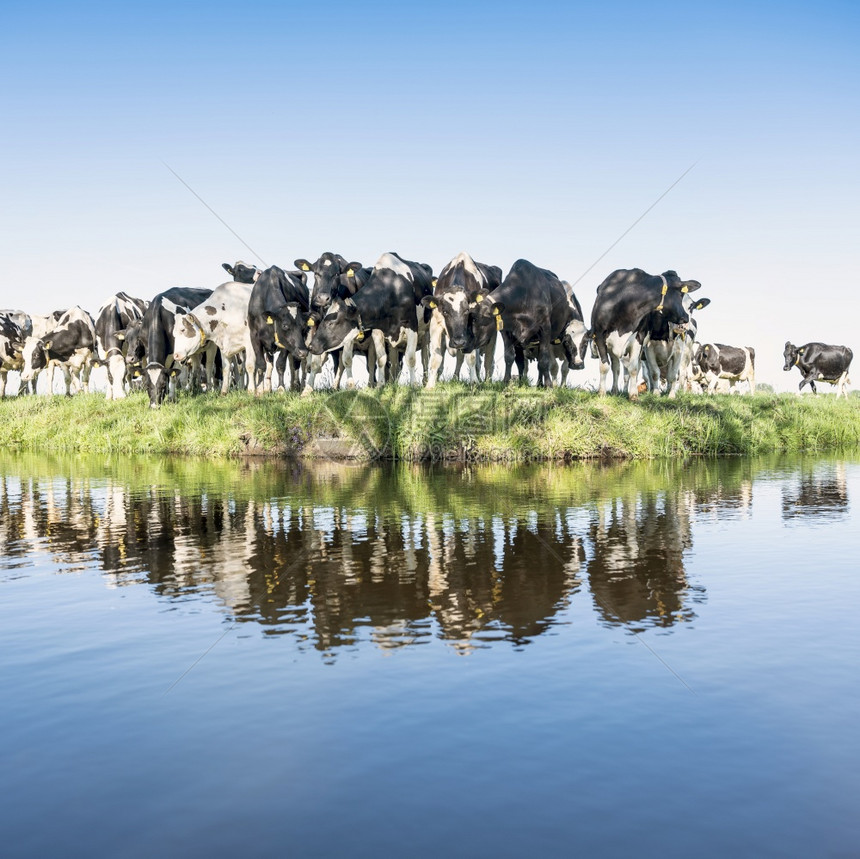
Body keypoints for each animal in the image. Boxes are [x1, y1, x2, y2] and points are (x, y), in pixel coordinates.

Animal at [306, 252, 434, 394]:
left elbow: (411, 358)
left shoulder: (411, 326)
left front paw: (414, 386)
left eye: (331, 323)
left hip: (426, 333)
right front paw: (380, 386)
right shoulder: (378, 331)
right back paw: (392, 383)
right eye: (315, 273)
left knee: (425, 358)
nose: (311, 346)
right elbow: (381, 359)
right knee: (394, 362)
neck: (392, 288)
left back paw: (425, 382)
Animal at [424, 250, 504, 388]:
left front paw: (474, 382)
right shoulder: (436, 324)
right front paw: (430, 385)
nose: (458, 342)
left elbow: (471, 358)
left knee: (487, 361)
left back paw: (486, 381)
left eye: (467, 311)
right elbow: (435, 358)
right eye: (445, 311)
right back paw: (455, 378)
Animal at [466, 258, 588, 386]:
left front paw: (549, 385)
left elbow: (544, 361)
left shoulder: (545, 329)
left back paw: (540, 384)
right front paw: (506, 381)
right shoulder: (506, 332)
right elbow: (509, 357)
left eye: (477, 319)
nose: (463, 343)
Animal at [584, 268, 700, 400]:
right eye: (680, 294)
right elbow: (604, 367)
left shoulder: (639, 338)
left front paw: (634, 395)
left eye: (692, 307)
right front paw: (602, 393)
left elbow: (634, 368)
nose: (685, 319)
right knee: (616, 368)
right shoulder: (599, 336)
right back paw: (614, 391)